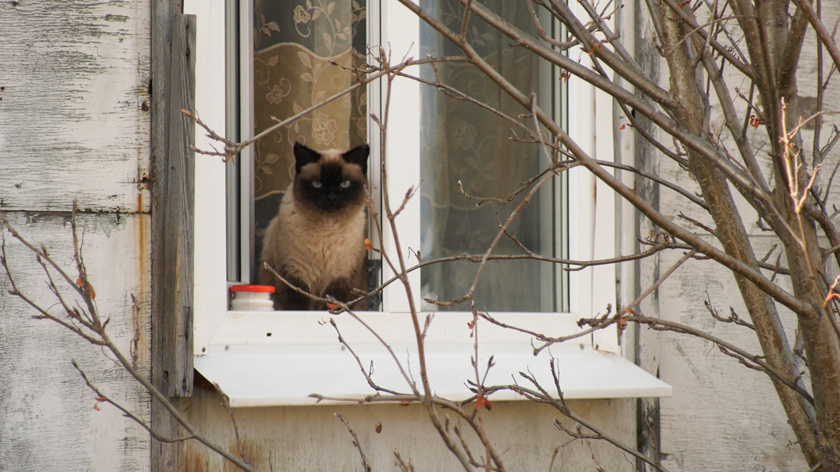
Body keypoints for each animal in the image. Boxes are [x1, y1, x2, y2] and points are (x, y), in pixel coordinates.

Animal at [260, 142, 370, 312]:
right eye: (317, 184)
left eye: (344, 184)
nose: (331, 197)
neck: (327, 229)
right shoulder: (295, 275)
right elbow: (298, 307)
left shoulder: (341, 278)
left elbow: (332, 305)